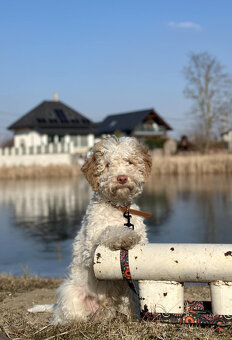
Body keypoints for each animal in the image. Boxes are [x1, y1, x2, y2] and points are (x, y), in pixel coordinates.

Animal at [29, 135, 151, 324]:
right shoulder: (90, 246)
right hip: (70, 292)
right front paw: (124, 236)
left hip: (126, 296)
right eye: (107, 165)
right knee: (63, 315)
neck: (118, 209)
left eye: (129, 162)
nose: (122, 178)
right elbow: (108, 231)